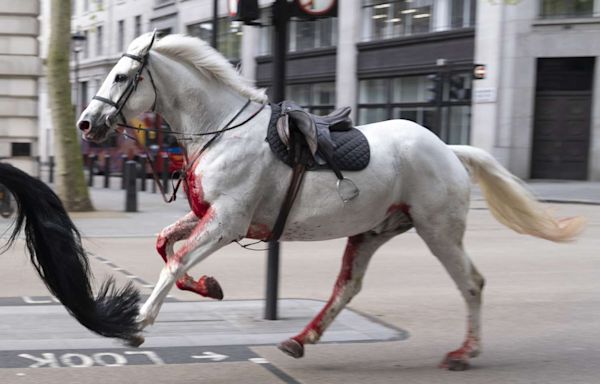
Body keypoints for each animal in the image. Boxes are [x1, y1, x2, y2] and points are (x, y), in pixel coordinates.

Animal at [76, 33, 584, 372]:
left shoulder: (227, 221)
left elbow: (176, 260)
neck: (221, 131)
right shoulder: (209, 216)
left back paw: (465, 351)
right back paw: (302, 338)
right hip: (373, 231)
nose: (85, 123)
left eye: (122, 76)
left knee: (472, 283)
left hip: (438, 230)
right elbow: (165, 245)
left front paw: (138, 323)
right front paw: (209, 286)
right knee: (347, 287)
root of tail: (448, 149)